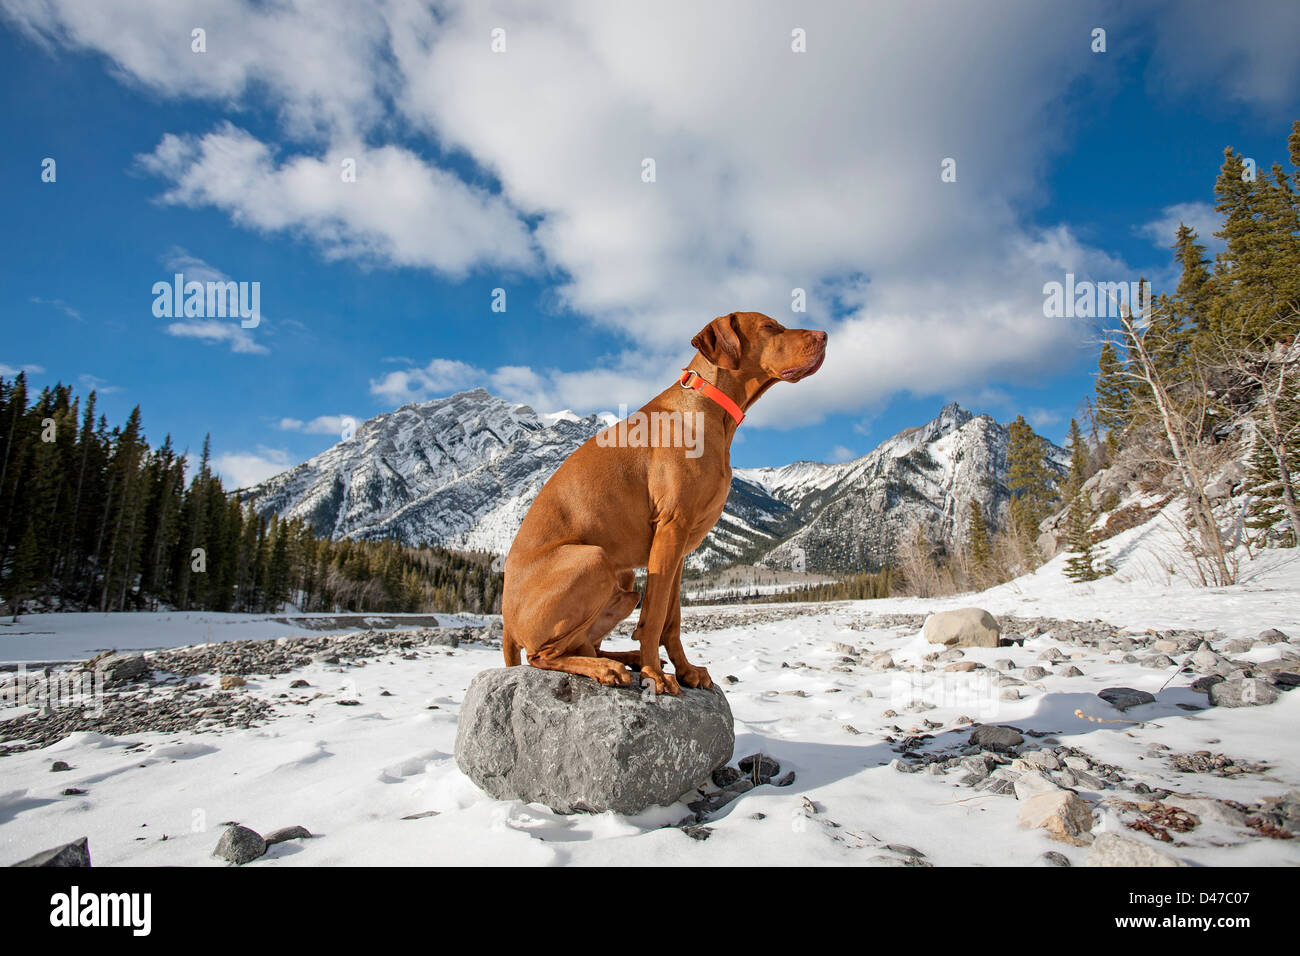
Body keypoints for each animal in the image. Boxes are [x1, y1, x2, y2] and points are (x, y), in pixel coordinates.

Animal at [496, 314, 821, 697]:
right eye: (770, 327)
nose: (824, 336)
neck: (710, 409)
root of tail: (505, 621)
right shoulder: (671, 528)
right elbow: (652, 619)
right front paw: (655, 675)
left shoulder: (680, 546)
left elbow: (671, 619)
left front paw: (685, 670)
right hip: (594, 560)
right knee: (543, 655)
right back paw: (609, 668)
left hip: (623, 581)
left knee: (584, 644)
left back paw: (626, 658)